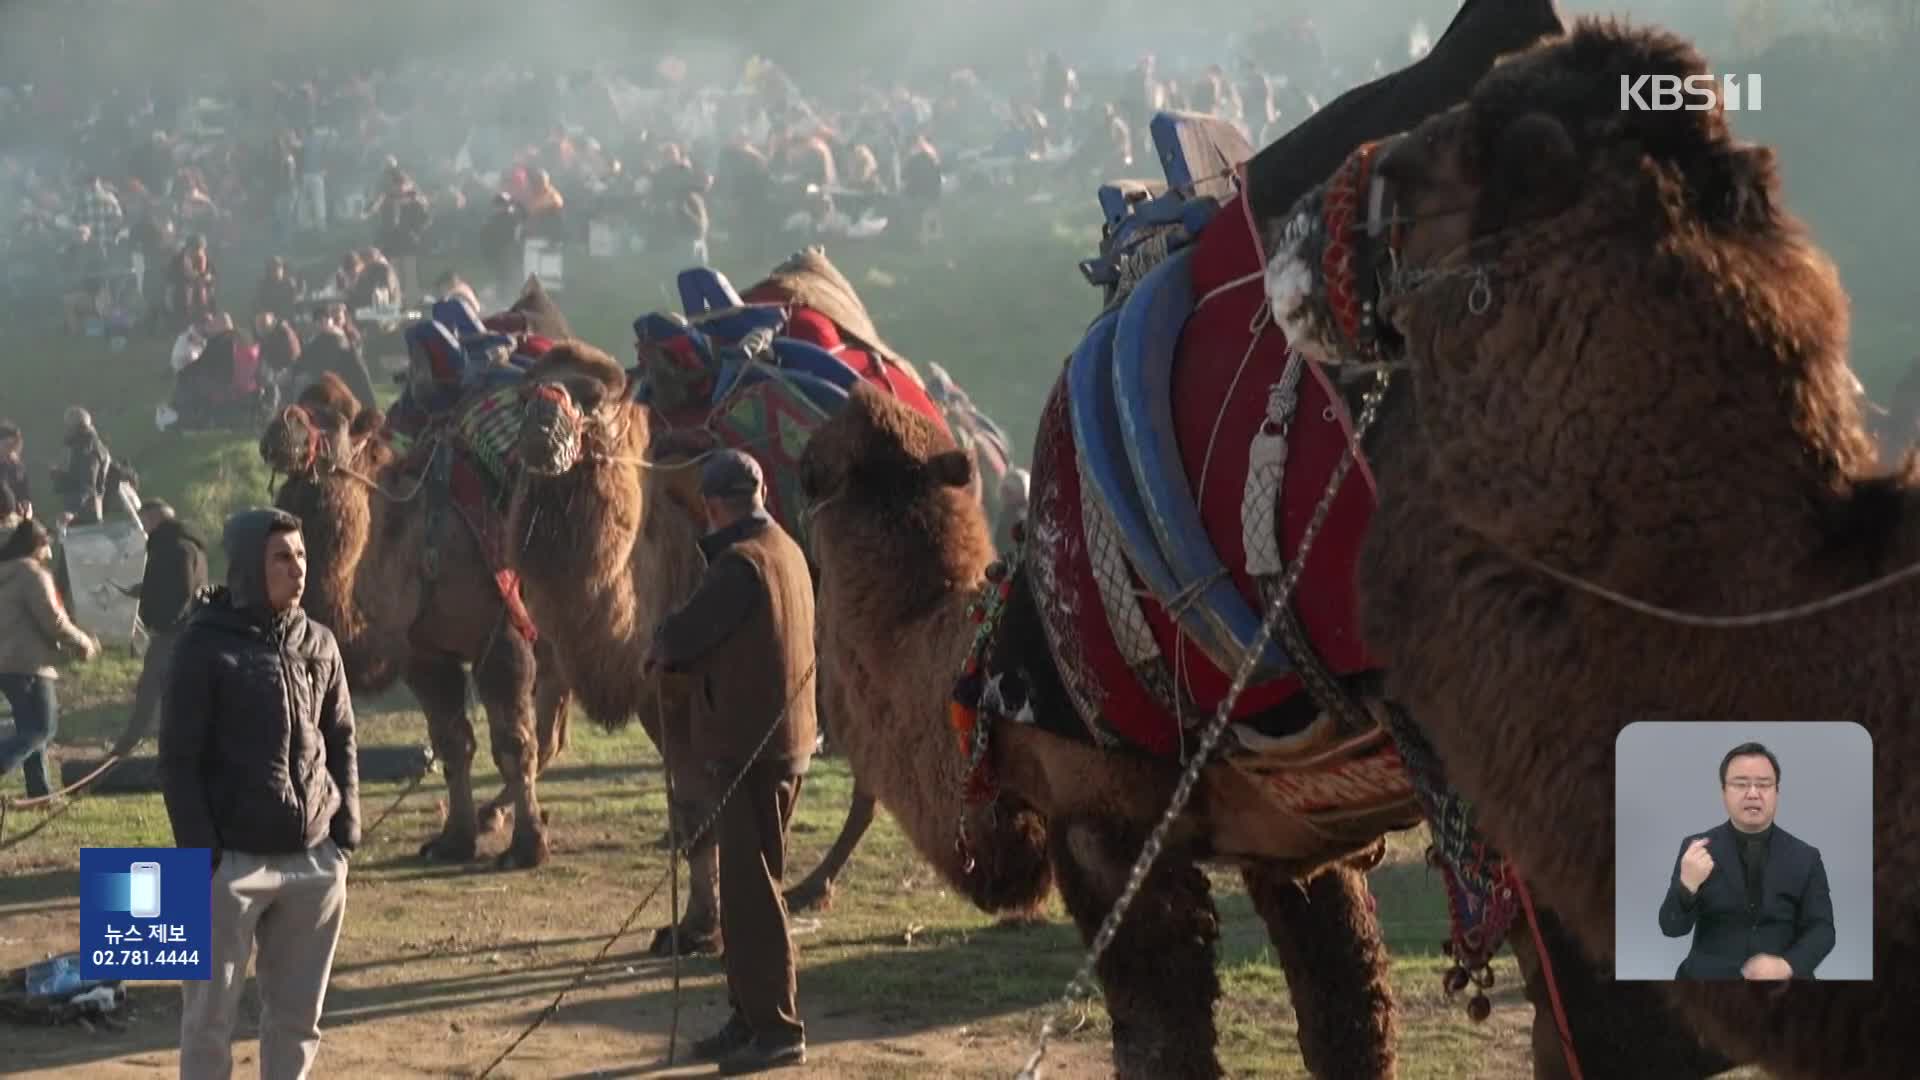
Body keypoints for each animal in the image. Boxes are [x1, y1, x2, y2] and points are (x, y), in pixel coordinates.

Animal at [259, 372, 568, 864]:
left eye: (335, 419)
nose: (279, 429)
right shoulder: (425, 654)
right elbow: (454, 742)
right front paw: (454, 840)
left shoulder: (501, 635)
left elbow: (513, 744)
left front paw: (527, 848)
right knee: (552, 734)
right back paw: (491, 814)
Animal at [503, 342, 879, 949]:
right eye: (523, 391)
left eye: (593, 396)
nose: (539, 423)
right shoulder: (656, 699)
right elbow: (691, 810)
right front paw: (694, 924)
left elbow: (709, 809)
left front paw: (709, 927)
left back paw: (814, 885)